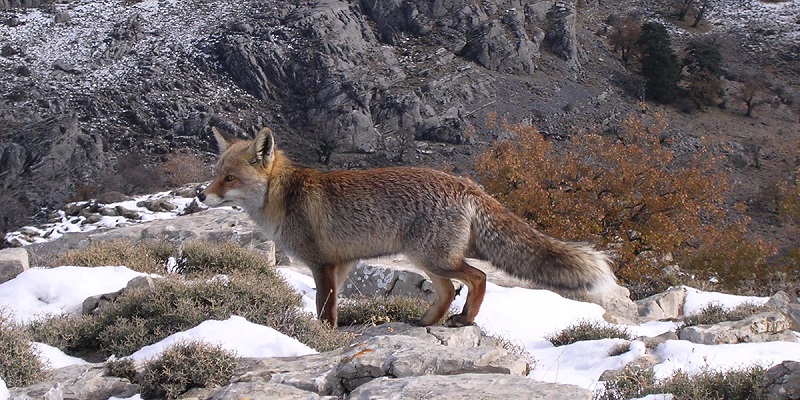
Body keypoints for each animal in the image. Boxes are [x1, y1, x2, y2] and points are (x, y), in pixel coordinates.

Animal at [197, 126, 616, 328]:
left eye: (230, 179)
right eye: (216, 174)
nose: (201, 195)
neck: (284, 196)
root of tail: (466, 184)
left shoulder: (322, 265)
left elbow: (324, 312)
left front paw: (320, 340)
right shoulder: (342, 264)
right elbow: (329, 311)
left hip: (432, 258)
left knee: (478, 278)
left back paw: (464, 319)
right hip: (425, 260)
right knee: (447, 292)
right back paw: (428, 321)